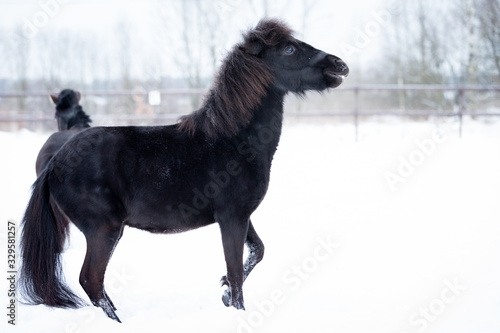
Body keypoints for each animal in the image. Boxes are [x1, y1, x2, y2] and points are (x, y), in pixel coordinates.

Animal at [19, 18, 348, 322]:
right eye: (289, 49)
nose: (339, 65)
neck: (232, 140)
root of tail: (55, 163)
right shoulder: (232, 218)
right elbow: (237, 272)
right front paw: (236, 306)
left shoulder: (241, 215)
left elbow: (258, 251)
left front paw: (224, 292)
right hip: (104, 230)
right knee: (91, 280)